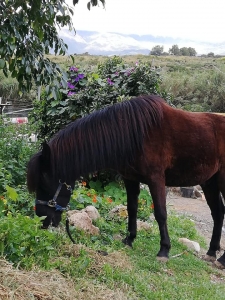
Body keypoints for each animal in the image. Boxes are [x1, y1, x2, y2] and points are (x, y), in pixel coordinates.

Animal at [27, 94, 225, 268]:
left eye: (44, 181)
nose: (41, 219)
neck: (136, 133)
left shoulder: (156, 179)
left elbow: (160, 213)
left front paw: (164, 250)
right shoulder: (130, 179)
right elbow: (131, 209)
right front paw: (129, 239)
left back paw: (221, 260)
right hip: (209, 182)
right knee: (218, 213)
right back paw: (211, 253)